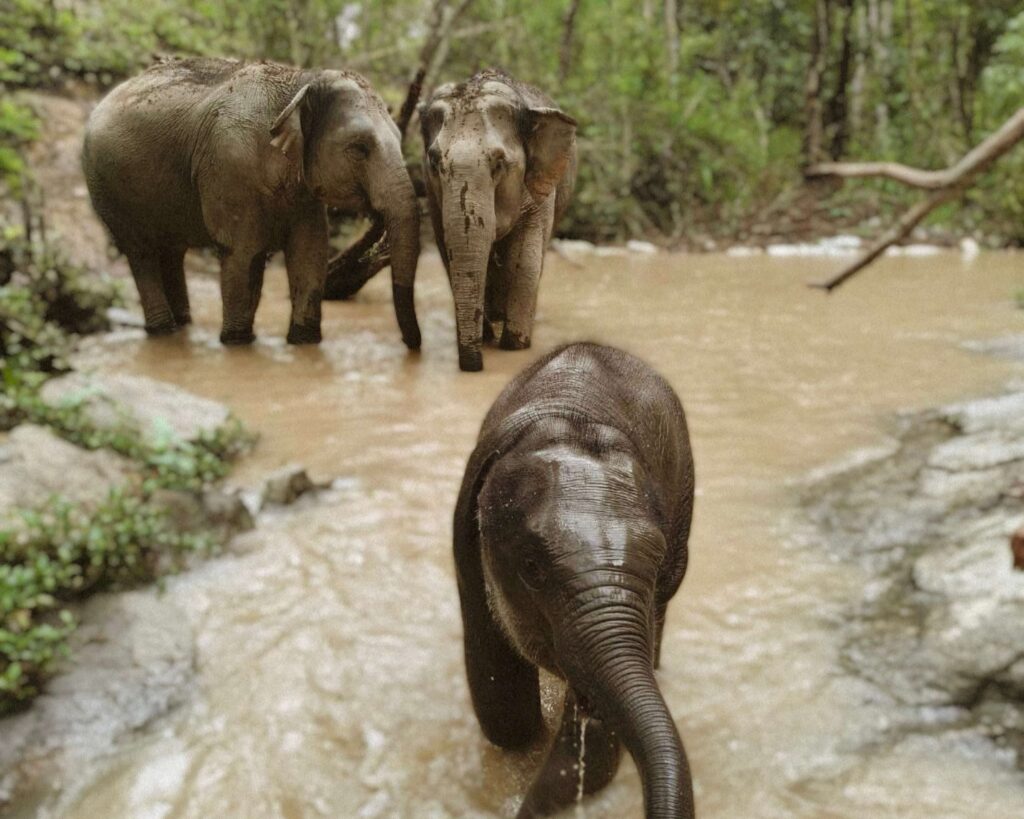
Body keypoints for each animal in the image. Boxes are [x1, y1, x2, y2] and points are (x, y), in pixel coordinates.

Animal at [82, 57, 420, 349]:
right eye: (360, 148)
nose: (412, 346)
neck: (300, 80)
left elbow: (309, 252)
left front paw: (303, 342)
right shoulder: (229, 166)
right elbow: (242, 252)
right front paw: (236, 342)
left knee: (172, 252)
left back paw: (182, 325)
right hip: (107, 187)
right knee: (141, 252)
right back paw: (163, 330)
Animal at [420, 70, 577, 371]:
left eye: (499, 164)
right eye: (434, 162)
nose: (475, 366)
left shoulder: (539, 193)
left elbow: (525, 263)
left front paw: (514, 345)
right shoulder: (432, 198)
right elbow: (449, 253)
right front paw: (486, 336)